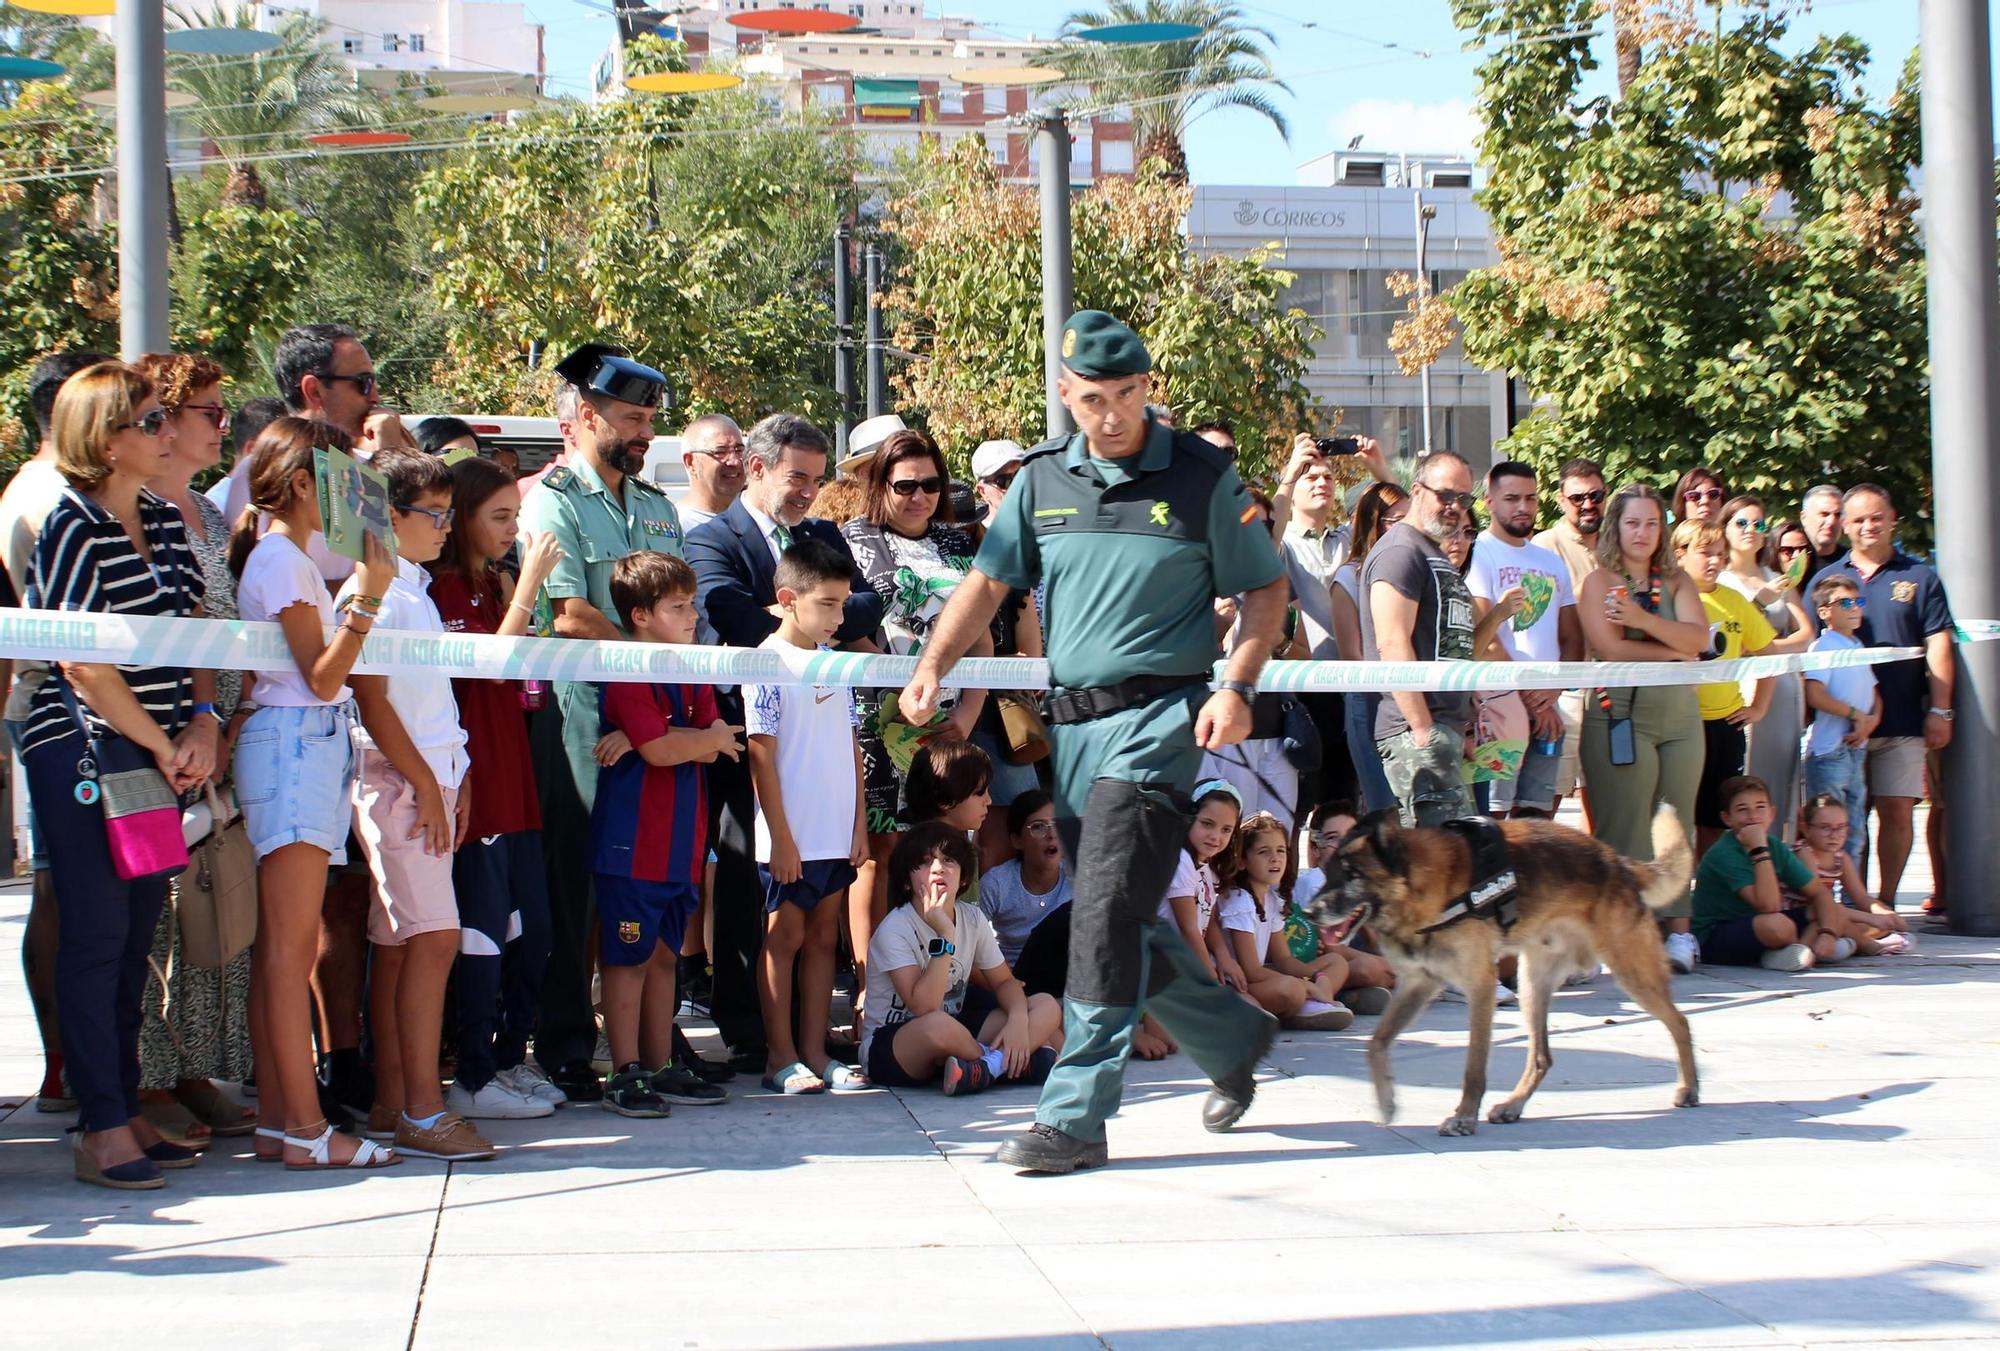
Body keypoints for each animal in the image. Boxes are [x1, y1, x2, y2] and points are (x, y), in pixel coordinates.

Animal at [1312, 803, 1704, 1143]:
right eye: (1328, 872)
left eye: (1352, 875)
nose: (1310, 911)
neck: (1419, 889)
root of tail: (1617, 861)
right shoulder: (1418, 985)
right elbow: (1376, 1043)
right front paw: (1386, 1101)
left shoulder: (1479, 987)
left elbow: (1473, 1067)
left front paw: (1463, 1118)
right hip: (1533, 988)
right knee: (1542, 1057)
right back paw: (1513, 1106)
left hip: (1630, 972)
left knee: (1680, 1022)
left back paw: (1689, 1088)